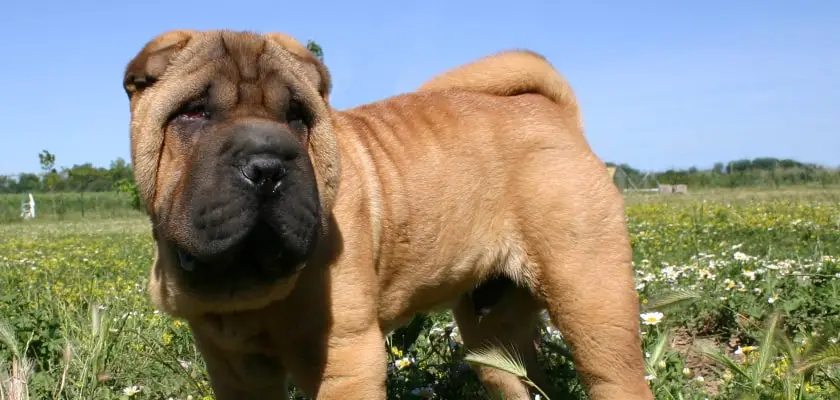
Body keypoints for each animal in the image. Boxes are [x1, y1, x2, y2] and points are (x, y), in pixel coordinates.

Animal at [121, 28, 652, 400]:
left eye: (298, 116)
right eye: (193, 112)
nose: (268, 165)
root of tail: (558, 116)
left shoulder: (346, 358)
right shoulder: (235, 370)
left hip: (593, 304)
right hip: (492, 338)